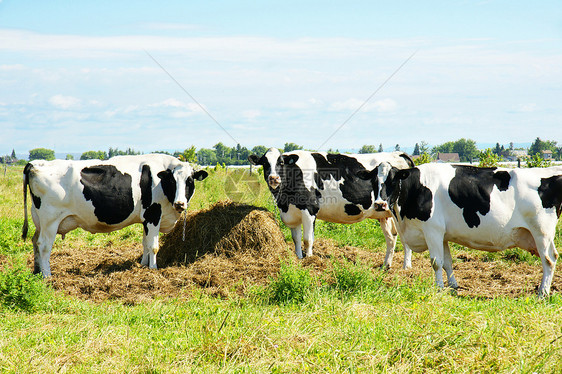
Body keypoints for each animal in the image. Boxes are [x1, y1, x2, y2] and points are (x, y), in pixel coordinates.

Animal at [21, 153, 208, 278]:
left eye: (190, 181)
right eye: (172, 181)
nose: (180, 203)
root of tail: (35, 164)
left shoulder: (146, 219)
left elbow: (145, 243)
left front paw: (142, 265)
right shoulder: (153, 214)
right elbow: (153, 246)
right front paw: (153, 269)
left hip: (39, 219)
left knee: (35, 242)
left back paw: (37, 272)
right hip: (50, 220)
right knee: (44, 245)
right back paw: (47, 276)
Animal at [247, 148, 414, 268]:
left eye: (281, 162)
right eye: (264, 163)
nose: (274, 178)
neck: (285, 202)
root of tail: (399, 153)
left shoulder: (309, 209)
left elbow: (307, 239)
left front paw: (309, 260)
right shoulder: (292, 214)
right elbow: (296, 239)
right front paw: (299, 258)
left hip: (399, 211)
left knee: (405, 238)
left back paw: (406, 267)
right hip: (384, 213)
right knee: (391, 238)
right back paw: (386, 265)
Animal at [356, 162, 560, 296]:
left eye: (392, 181)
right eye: (374, 181)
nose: (380, 204)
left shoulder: (432, 230)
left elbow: (436, 262)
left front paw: (439, 288)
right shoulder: (443, 235)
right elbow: (447, 262)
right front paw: (453, 286)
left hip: (541, 231)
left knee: (549, 260)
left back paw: (542, 292)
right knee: (554, 256)